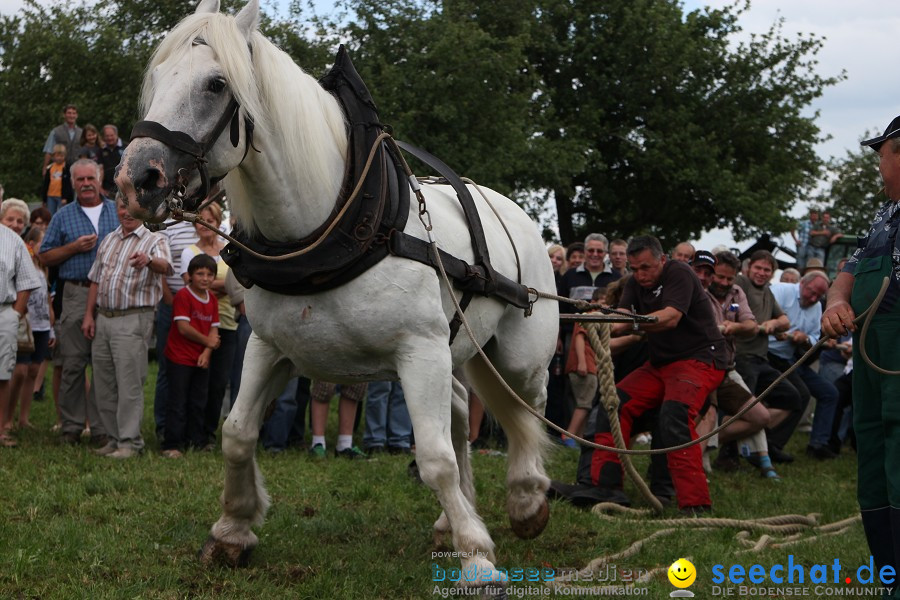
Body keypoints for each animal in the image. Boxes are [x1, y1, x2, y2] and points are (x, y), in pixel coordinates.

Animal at [116, 0, 560, 588]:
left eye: (216, 84)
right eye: (158, 77)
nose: (136, 180)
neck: (334, 227)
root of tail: (516, 213)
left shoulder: (420, 350)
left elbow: (434, 455)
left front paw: (477, 558)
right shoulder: (269, 347)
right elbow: (236, 432)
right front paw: (233, 529)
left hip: (516, 354)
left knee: (529, 410)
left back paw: (526, 500)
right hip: (456, 351)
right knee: (466, 412)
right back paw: (454, 516)